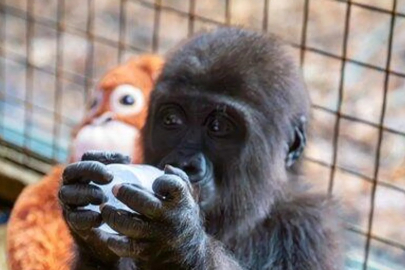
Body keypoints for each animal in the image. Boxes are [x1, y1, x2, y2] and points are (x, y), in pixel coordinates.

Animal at [58, 28, 340, 270]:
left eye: (218, 126)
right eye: (172, 120)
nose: (185, 163)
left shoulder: (307, 229)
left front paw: (175, 239)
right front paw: (90, 239)